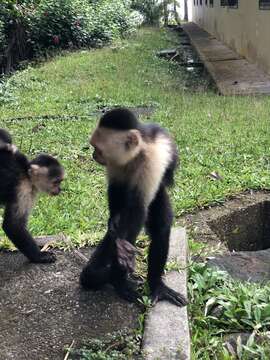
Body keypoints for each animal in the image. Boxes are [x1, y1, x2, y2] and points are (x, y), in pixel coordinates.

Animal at [0, 128, 64, 262]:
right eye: (56, 182)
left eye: (60, 181)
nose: (60, 189)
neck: (27, 174)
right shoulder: (24, 188)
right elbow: (13, 225)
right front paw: (40, 256)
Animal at [80, 107, 188, 306]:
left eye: (98, 149)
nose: (93, 155)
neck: (137, 153)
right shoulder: (114, 162)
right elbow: (115, 189)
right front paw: (114, 225)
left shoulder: (152, 162)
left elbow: (137, 208)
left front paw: (119, 270)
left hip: (159, 190)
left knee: (160, 226)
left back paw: (155, 285)